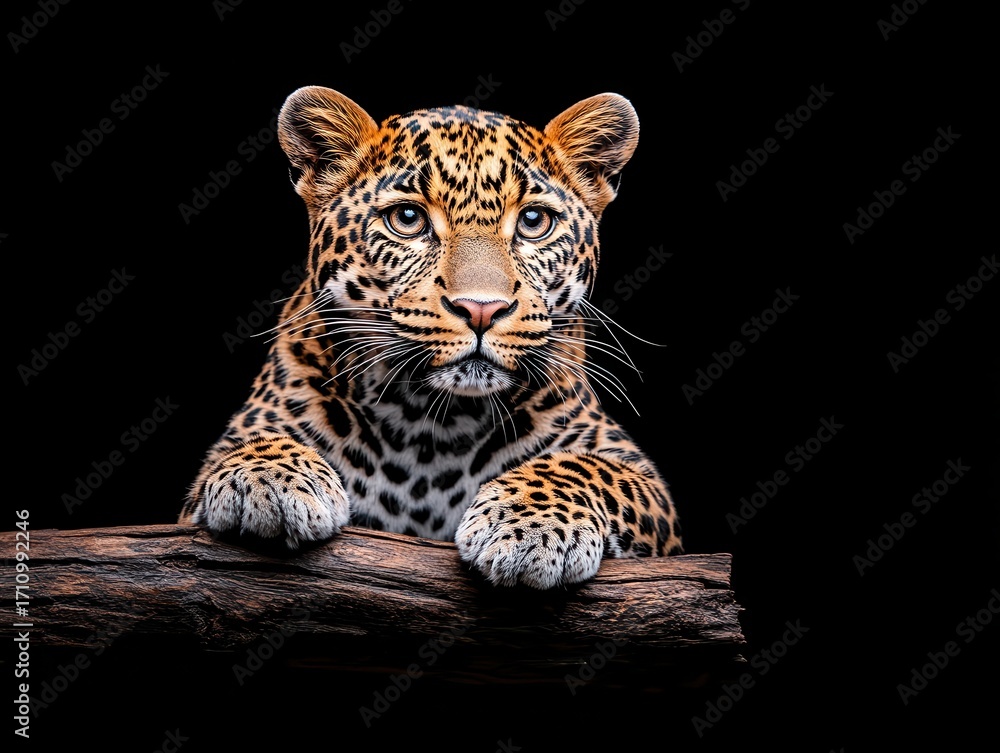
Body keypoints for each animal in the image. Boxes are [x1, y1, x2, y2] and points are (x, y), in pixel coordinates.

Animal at [180, 85, 683, 589]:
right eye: (408, 218)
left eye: (534, 221)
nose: (481, 309)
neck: (430, 425)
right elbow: (248, 446)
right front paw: (264, 477)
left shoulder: (642, 482)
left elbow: (591, 467)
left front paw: (530, 524)